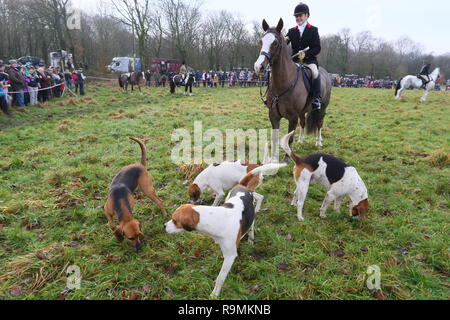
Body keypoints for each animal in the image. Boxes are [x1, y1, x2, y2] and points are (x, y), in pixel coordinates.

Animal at [255, 18, 332, 162]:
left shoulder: (292, 117)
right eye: (261, 41)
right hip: (302, 111)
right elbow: (275, 137)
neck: (283, 84)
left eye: (275, 43)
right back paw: (301, 140)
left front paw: (287, 158)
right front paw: (274, 159)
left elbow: (289, 137)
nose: (258, 67)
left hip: (322, 107)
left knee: (319, 123)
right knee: (303, 123)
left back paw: (318, 142)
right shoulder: (273, 115)